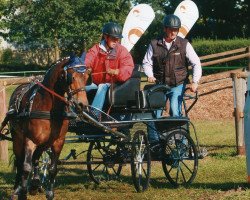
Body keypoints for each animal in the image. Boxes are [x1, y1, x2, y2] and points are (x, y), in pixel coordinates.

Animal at [3, 57, 90, 199]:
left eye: (87, 76)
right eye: (71, 77)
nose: (82, 105)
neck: (48, 108)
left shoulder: (58, 142)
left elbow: (53, 168)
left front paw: (49, 192)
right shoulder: (30, 140)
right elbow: (26, 167)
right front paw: (21, 192)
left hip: (43, 143)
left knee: (36, 159)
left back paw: (35, 184)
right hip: (18, 139)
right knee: (20, 162)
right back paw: (18, 189)